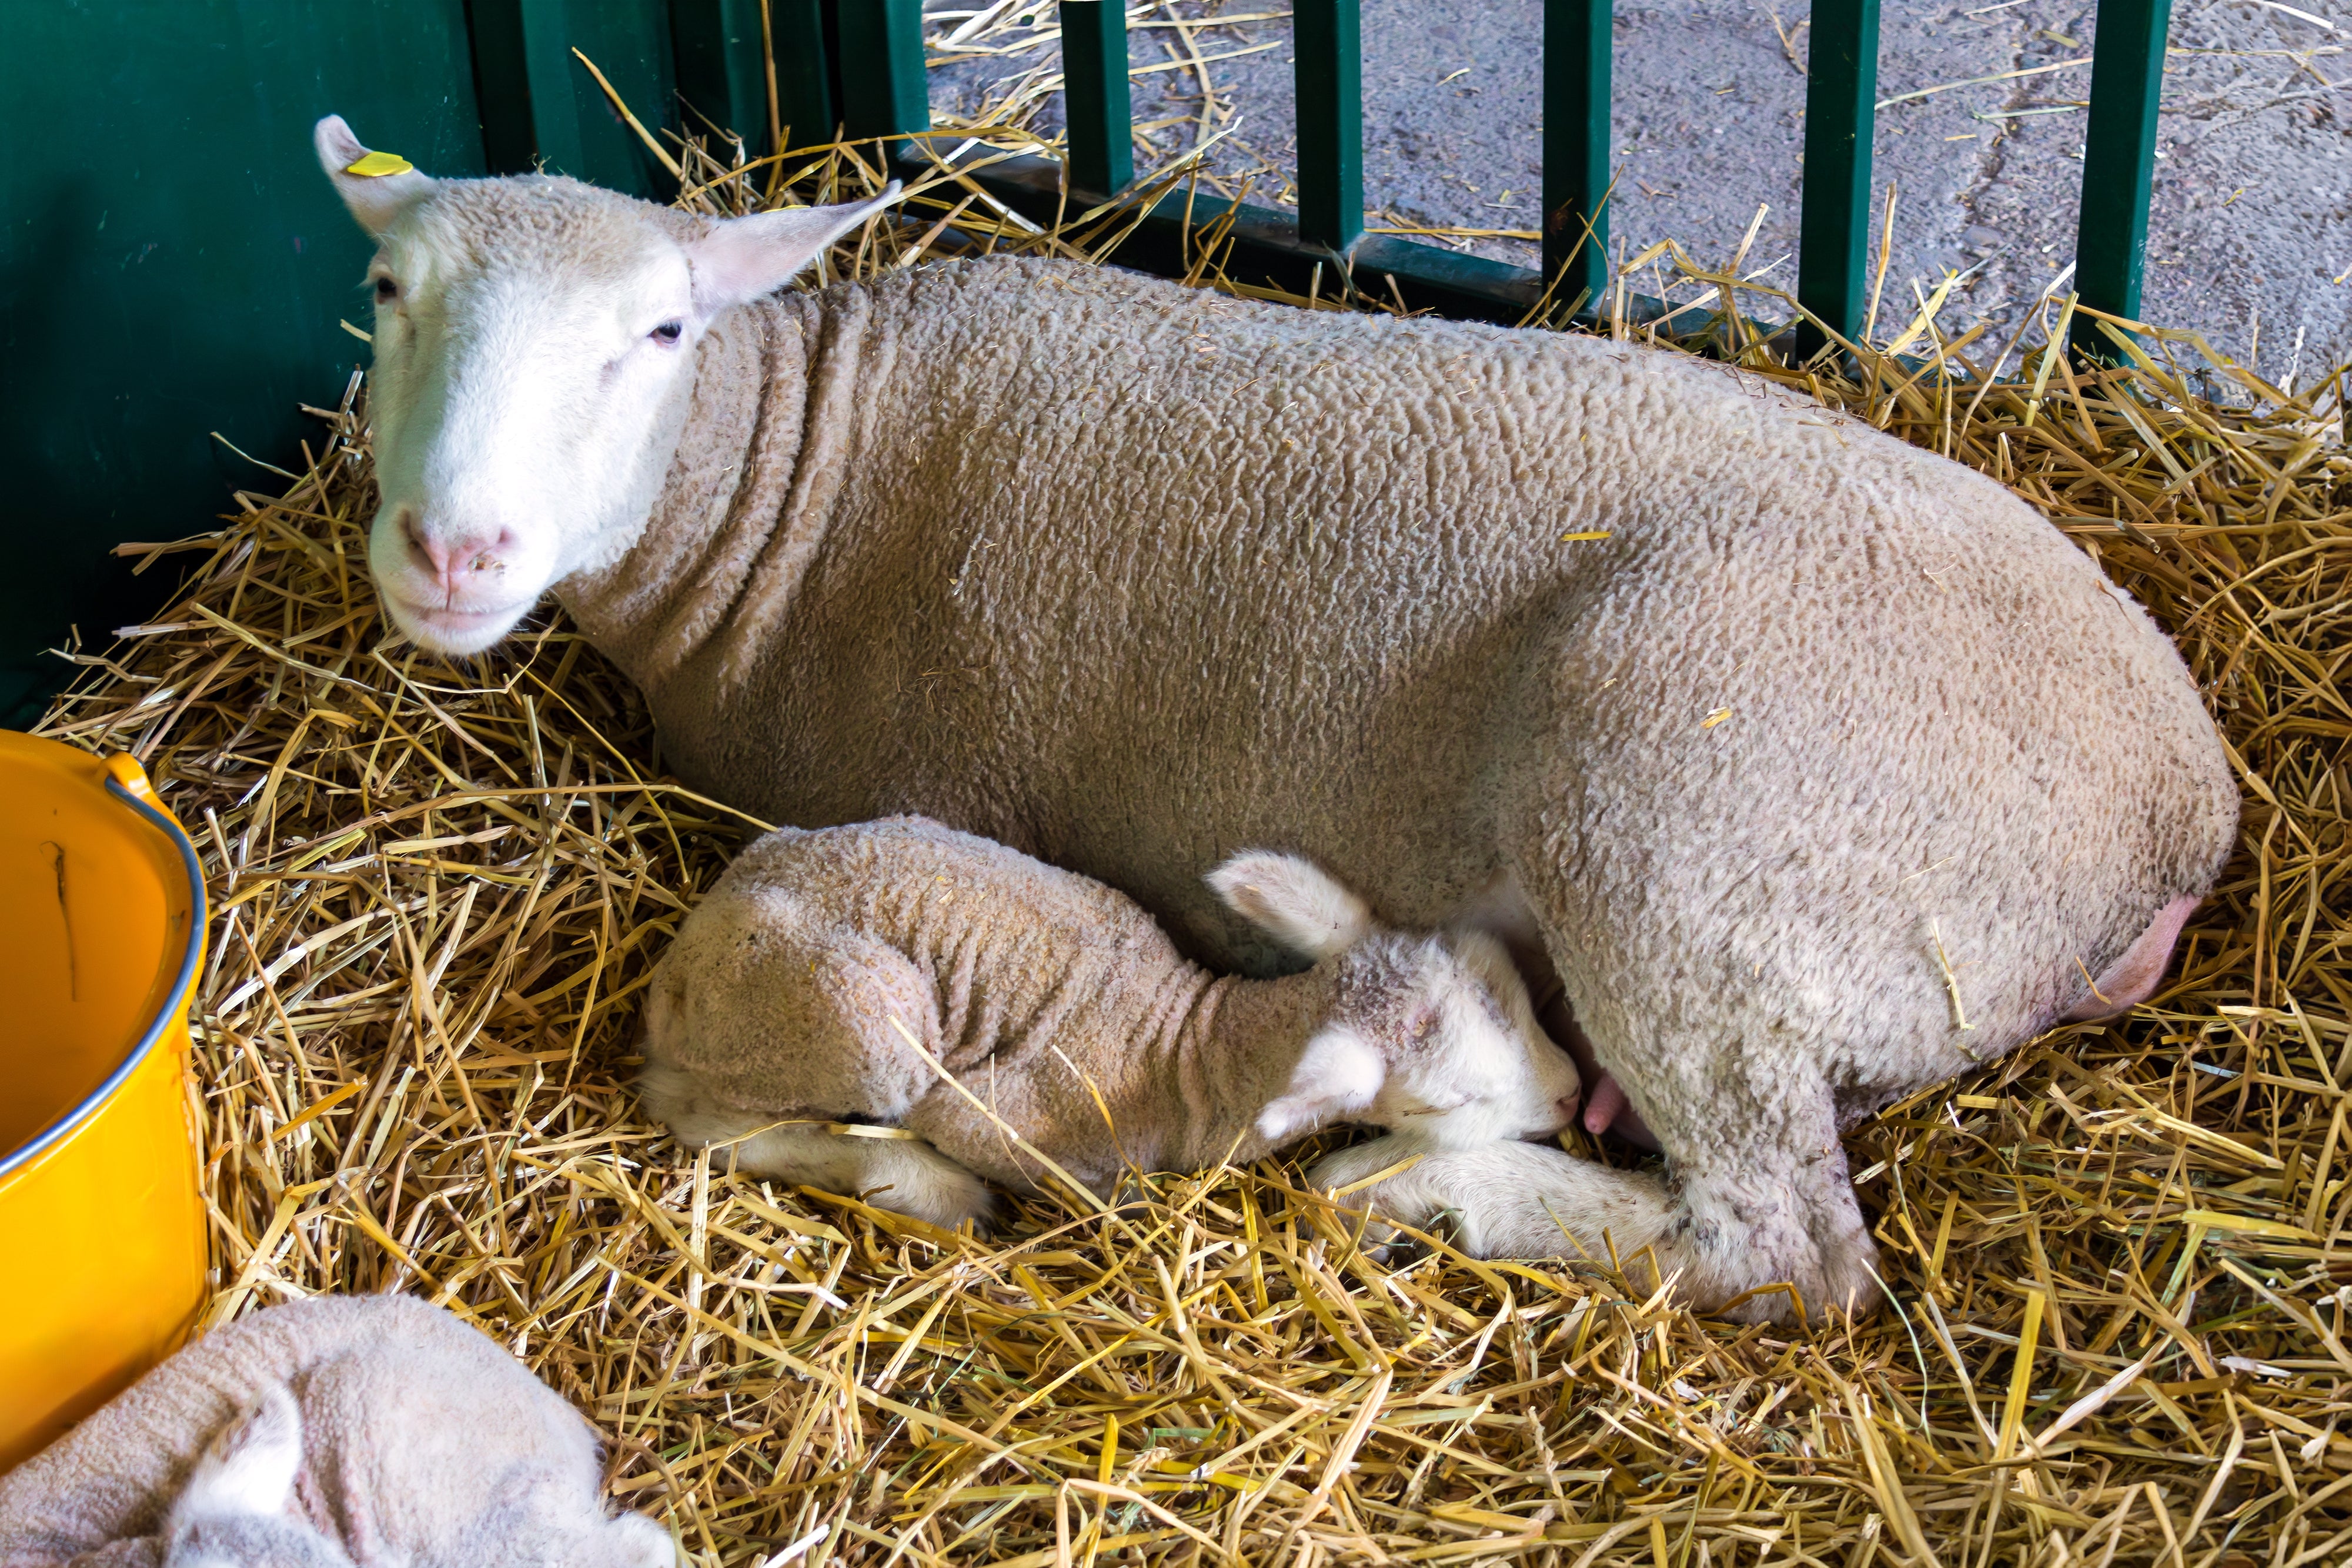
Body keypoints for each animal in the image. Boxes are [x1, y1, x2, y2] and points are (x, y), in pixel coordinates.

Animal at [639, 817, 1583, 1226]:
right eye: (1453, 1102)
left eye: (1515, 992)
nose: (1574, 1096)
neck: (1193, 1051)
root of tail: (681, 960)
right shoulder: (1002, 1117)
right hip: (851, 1020)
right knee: (703, 1117)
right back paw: (934, 1192)